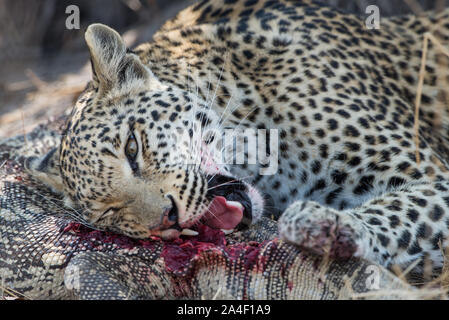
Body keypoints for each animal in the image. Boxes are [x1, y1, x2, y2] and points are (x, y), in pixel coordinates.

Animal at [23, 0, 449, 278]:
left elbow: (397, 209)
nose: (166, 220)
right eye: (109, 215)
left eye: (132, 148)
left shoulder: (432, 174)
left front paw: (326, 223)